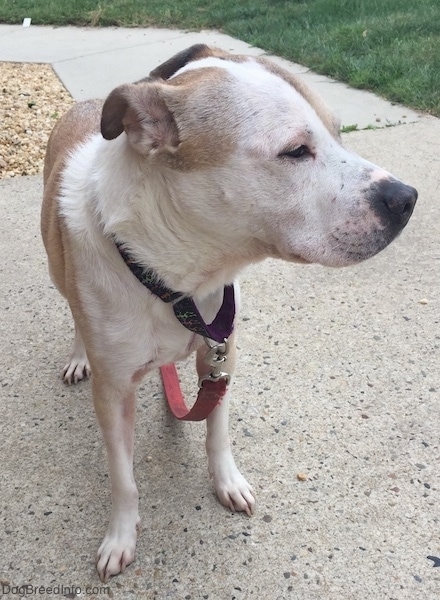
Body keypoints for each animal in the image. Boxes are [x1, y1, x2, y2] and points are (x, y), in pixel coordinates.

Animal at [40, 44, 416, 580]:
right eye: (295, 151)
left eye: (338, 130)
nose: (407, 199)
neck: (177, 278)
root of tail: (87, 102)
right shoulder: (113, 395)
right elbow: (124, 478)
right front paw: (120, 536)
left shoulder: (221, 354)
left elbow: (216, 430)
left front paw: (227, 481)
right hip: (58, 269)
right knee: (72, 310)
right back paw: (78, 355)